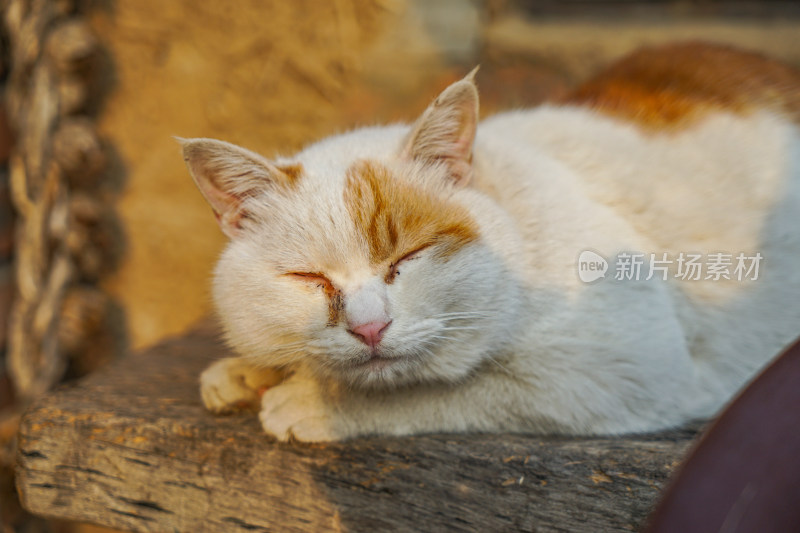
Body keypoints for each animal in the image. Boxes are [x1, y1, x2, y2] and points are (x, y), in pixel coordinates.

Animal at [180, 42, 800, 440]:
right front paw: (248, 369)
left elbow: (447, 389)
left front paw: (315, 403)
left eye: (409, 258)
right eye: (308, 278)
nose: (369, 328)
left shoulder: (624, 368)